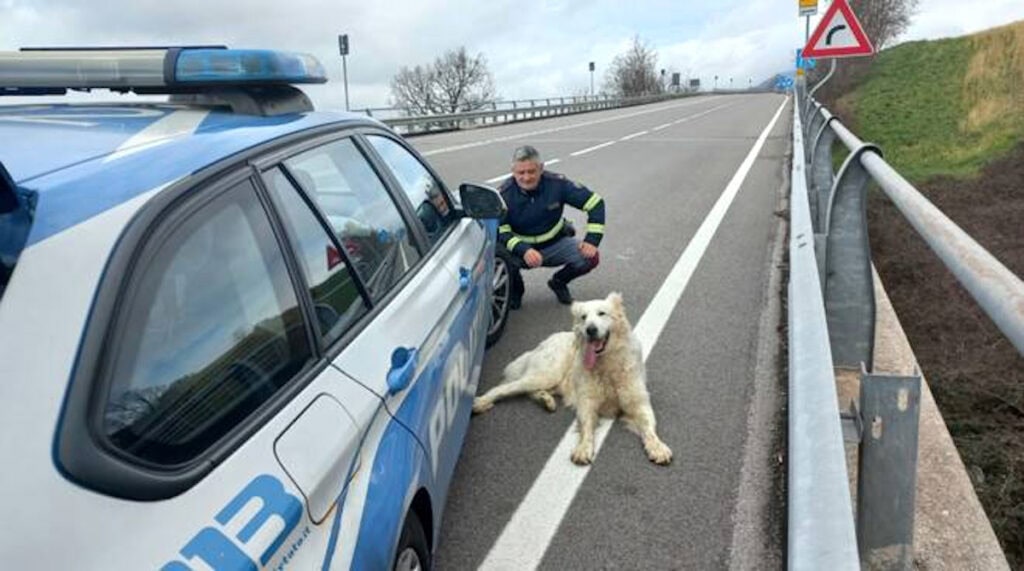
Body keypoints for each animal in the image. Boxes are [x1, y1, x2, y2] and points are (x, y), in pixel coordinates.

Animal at [471, 292, 671, 468]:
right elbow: (587, 428)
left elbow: (649, 428)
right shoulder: (587, 402)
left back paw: (545, 400)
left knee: (531, 391)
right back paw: (480, 402)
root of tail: (545, 341)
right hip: (546, 374)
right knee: (504, 388)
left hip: (552, 381)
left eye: (602, 313)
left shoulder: (639, 403)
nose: (590, 330)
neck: (606, 364)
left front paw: (657, 447)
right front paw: (583, 449)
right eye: (583, 317)